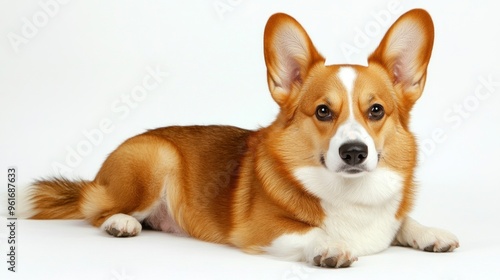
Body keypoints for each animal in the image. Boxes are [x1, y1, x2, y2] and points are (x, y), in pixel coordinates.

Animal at [26, 8, 458, 266]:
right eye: (323, 111)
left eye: (376, 111)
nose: (354, 152)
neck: (350, 195)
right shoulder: (262, 229)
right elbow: (312, 230)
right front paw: (331, 245)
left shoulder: (389, 214)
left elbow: (403, 221)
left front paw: (430, 233)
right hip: (155, 161)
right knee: (94, 209)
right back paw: (121, 223)